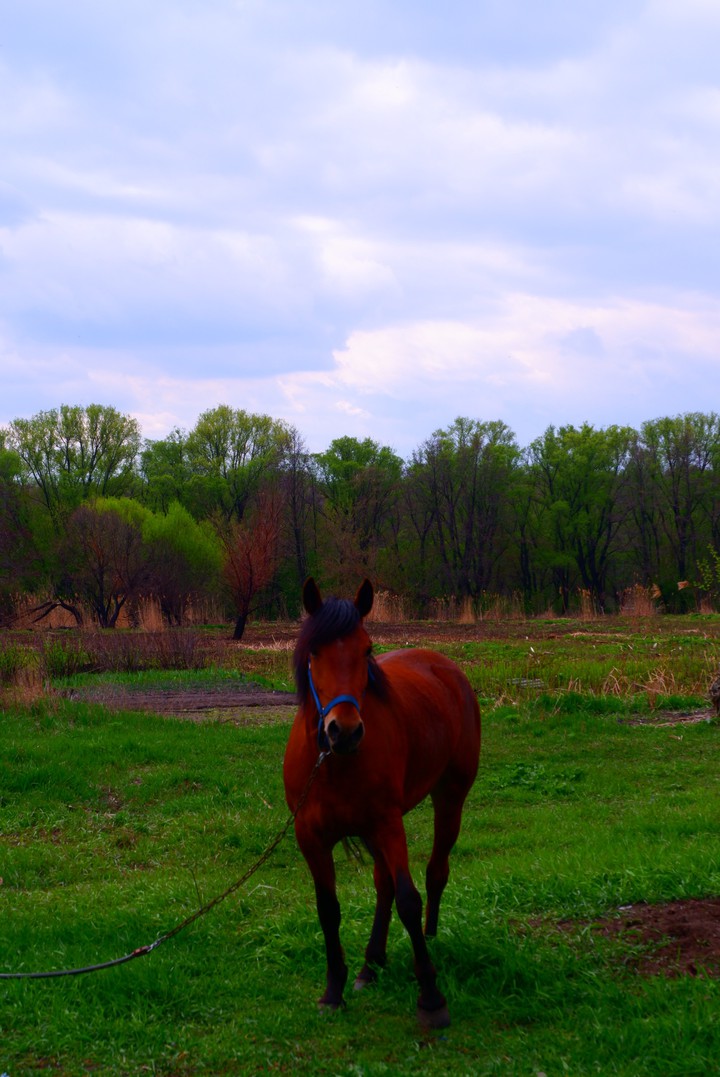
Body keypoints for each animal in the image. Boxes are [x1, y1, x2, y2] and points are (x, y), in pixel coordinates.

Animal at [283, 578, 481, 1028]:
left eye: (367, 649)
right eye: (314, 652)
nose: (344, 730)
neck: (333, 764)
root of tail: (444, 666)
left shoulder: (388, 825)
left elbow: (409, 899)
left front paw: (431, 998)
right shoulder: (311, 839)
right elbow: (328, 909)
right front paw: (333, 990)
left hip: (449, 799)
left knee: (434, 873)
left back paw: (428, 938)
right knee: (383, 884)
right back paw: (370, 965)